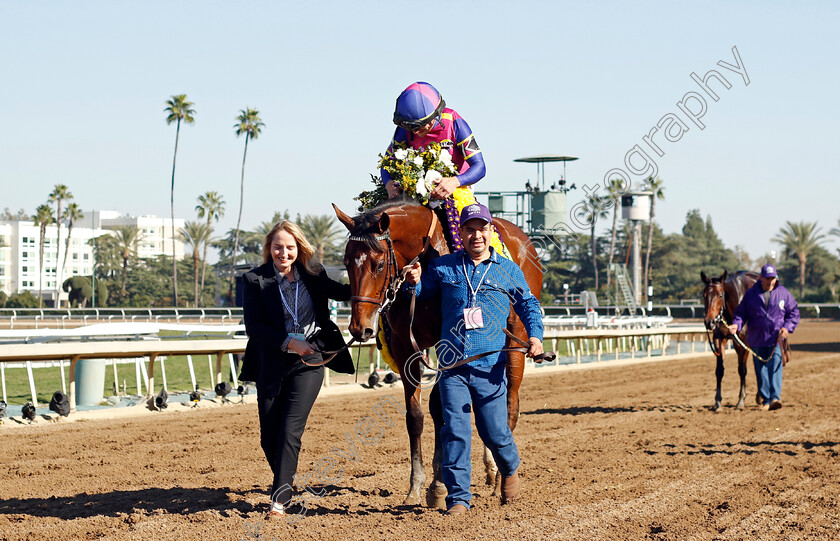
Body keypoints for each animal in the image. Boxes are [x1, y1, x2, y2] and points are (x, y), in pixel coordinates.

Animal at [700, 270, 756, 410]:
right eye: (704, 295)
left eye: (720, 295)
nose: (709, 322)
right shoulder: (719, 338)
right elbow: (719, 370)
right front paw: (718, 401)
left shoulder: (744, 341)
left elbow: (742, 369)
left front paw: (741, 400)